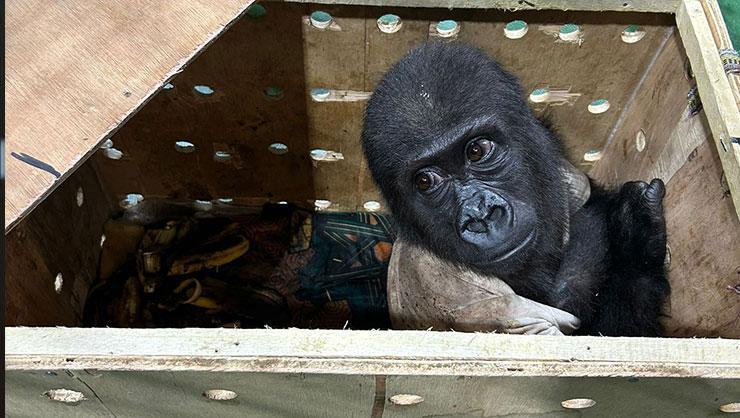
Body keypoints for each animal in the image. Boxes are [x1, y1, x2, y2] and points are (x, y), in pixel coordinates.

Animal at [364, 42, 672, 336]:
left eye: (477, 150)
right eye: (426, 181)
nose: (481, 215)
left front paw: (636, 234)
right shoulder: (463, 294)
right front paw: (635, 241)